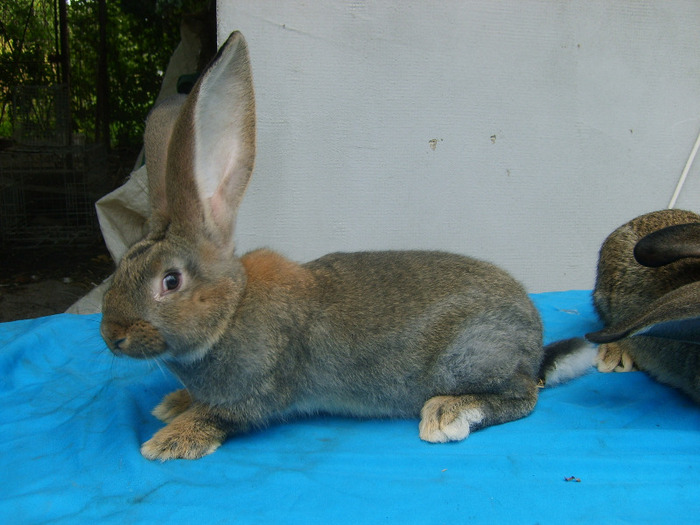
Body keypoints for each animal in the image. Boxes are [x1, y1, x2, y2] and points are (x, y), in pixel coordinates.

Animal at [98, 31, 592, 458]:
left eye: (171, 281)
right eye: (120, 269)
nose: (111, 336)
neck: (231, 310)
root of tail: (534, 342)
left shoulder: (257, 391)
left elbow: (220, 416)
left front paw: (167, 441)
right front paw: (172, 404)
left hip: (470, 358)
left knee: (523, 395)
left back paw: (447, 413)